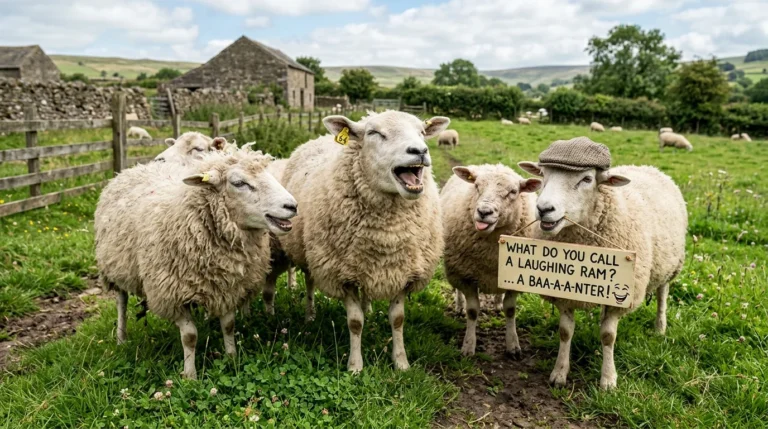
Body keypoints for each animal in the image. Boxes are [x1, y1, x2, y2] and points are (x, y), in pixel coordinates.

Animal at [94, 148, 298, 379]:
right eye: (238, 183)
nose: (292, 206)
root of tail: (131, 169)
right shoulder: (172, 294)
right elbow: (190, 336)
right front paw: (190, 375)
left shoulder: (228, 287)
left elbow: (229, 325)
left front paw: (231, 358)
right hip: (114, 268)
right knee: (121, 302)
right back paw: (121, 338)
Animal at [279, 110, 450, 372]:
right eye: (374, 133)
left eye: (422, 131)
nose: (420, 150)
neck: (387, 234)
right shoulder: (341, 274)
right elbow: (355, 322)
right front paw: (355, 366)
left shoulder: (403, 272)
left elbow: (397, 319)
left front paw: (401, 362)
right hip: (311, 254)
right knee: (309, 282)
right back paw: (310, 315)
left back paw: (368, 307)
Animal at [441, 164, 541, 357]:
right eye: (476, 186)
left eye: (513, 191)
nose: (484, 212)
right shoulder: (465, 276)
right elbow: (472, 311)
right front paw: (468, 346)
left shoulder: (515, 278)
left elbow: (511, 310)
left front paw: (513, 345)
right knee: (458, 291)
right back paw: (459, 305)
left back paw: (497, 303)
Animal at [518, 137, 687, 390]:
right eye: (543, 174)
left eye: (587, 179)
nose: (543, 209)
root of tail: (650, 167)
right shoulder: (564, 292)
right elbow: (565, 332)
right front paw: (559, 373)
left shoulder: (622, 294)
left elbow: (608, 336)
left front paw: (608, 379)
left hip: (669, 266)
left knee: (662, 296)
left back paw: (660, 328)